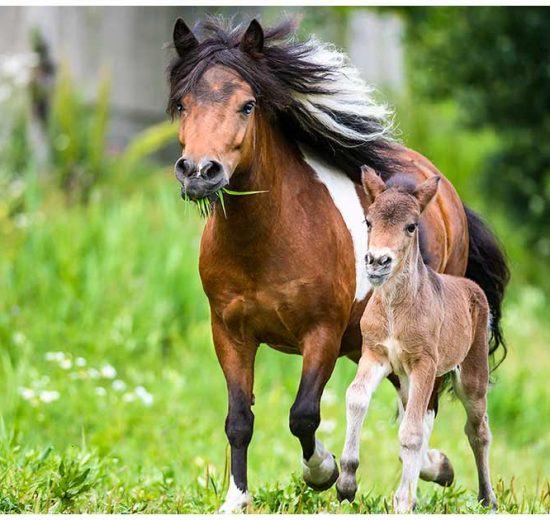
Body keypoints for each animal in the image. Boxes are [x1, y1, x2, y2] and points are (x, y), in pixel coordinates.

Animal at [336, 168, 500, 512]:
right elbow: (356, 397)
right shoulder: (375, 354)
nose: (377, 261)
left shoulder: (425, 363)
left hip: (471, 374)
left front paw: (402, 501)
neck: (395, 310)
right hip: (407, 378)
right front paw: (346, 483)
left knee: (477, 429)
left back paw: (487, 498)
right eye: (368, 221)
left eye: (411, 226)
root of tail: (473, 287)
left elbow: (411, 433)